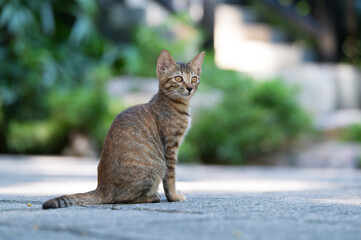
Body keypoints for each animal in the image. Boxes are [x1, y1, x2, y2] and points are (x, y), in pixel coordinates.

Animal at [42, 49, 204, 208]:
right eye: (178, 79)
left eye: (194, 79)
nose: (190, 88)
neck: (173, 104)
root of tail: (102, 188)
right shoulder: (170, 147)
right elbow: (170, 177)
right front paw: (174, 197)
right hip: (156, 167)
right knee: (122, 198)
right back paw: (152, 196)